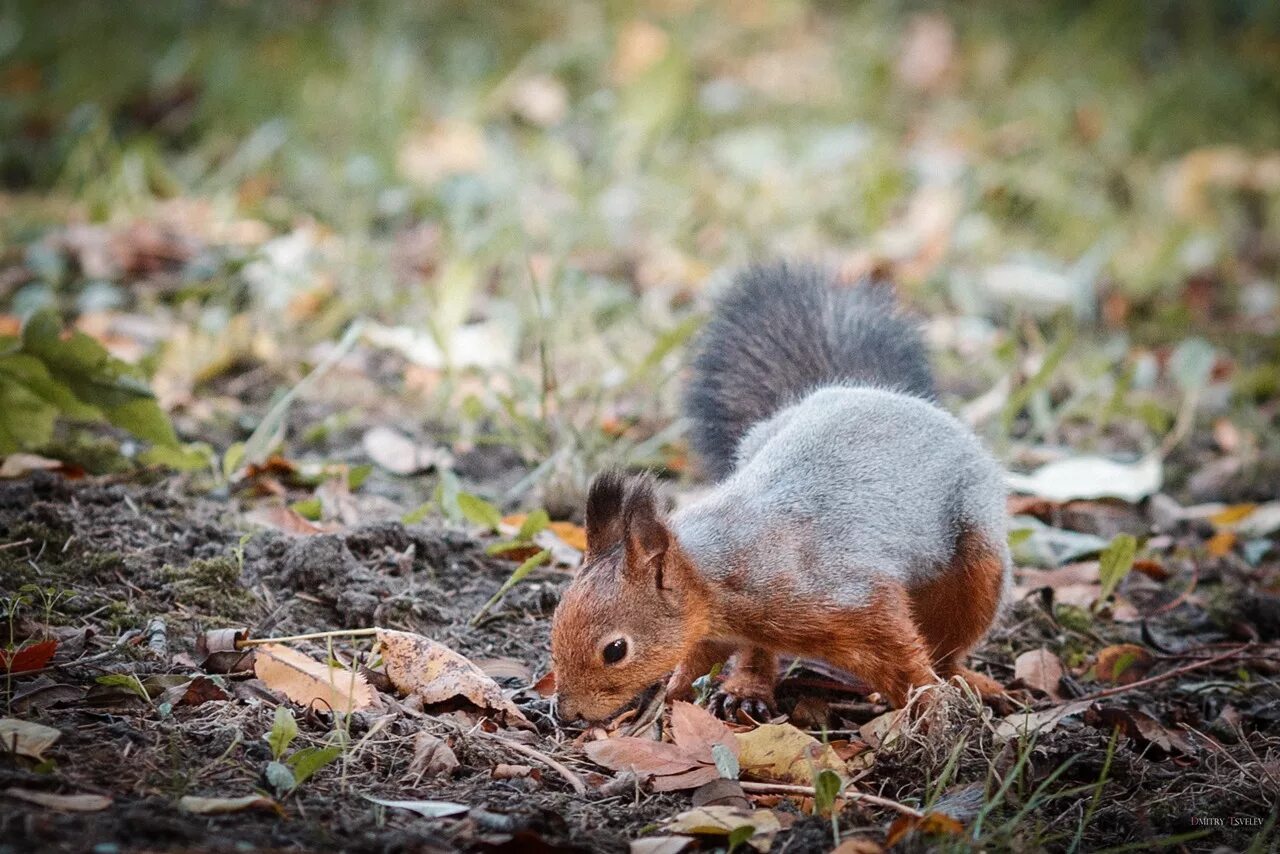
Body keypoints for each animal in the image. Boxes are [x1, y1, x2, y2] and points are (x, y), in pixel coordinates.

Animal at [550, 261, 1008, 722]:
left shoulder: (854, 596)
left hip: (976, 565)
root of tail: (870, 389)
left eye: (615, 649)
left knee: (950, 642)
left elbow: (904, 657)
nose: (567, 712)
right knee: (757, 655)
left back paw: (968, 681)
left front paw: (932, 711)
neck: (719, 572)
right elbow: (700, 653)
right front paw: (672, 694)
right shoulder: (714, 625)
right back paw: (746, 690)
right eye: (554, 621)